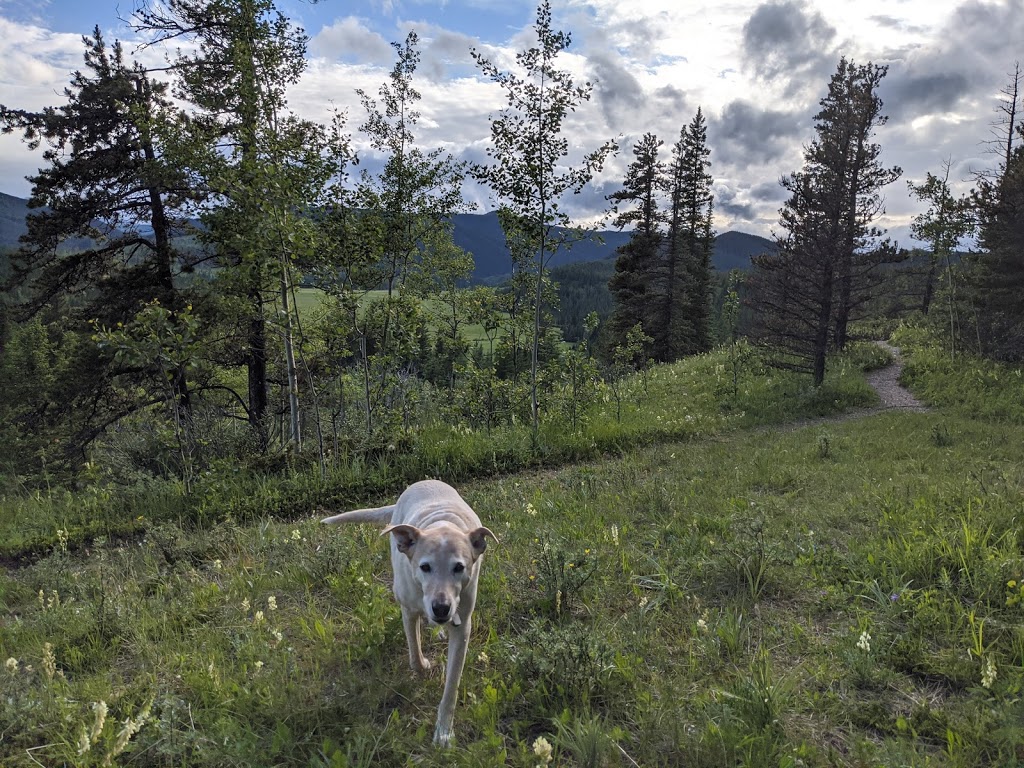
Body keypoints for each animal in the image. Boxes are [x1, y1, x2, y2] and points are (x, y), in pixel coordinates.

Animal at [319, 481, 495, 745]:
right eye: (425, 567)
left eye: (459, 567)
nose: (441, 608)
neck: (441, 524)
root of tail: (422, 482)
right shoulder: (408, 609)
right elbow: (414, 652)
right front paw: (422, 664)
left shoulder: (462, 625)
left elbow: (452, 685)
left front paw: (444, 731)